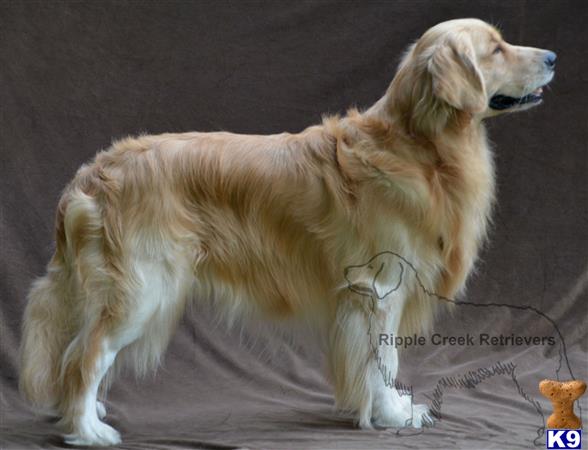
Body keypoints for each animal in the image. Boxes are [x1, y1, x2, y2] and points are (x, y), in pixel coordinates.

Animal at [18, 17, 552, 446]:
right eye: (496, 49)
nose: (552, 57)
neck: (417, 145)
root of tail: (91, 173)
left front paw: (391, 409)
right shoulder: (379, 287)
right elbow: (384, 362)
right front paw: (392, 414)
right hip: (144, 289)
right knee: (84, 357)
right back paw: (88, 429)